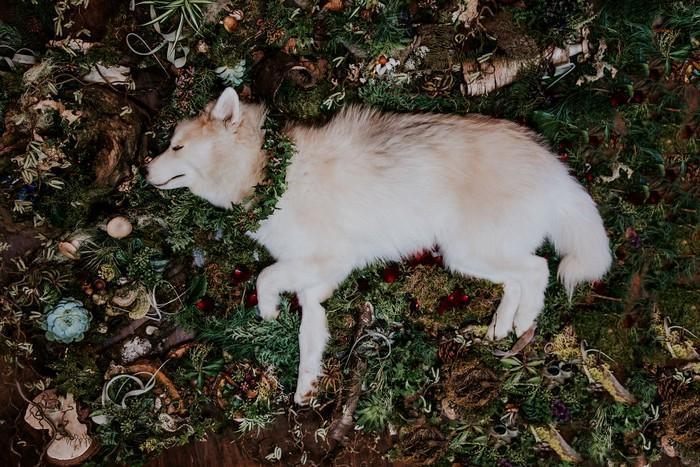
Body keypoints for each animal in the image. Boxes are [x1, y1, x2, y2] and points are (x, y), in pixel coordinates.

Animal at [148, 88, 612, 406]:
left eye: (177, 146)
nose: (144, 170)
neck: (269, 174)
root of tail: (553, 165)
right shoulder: (318, 283)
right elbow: (308, 339)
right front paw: (306, 388)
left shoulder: (327, 260)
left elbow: (264, 279)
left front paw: (267, 314)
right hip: (467, 256)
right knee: (517, 279)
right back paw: (501, 327)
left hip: (469, 251)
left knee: (538, 270)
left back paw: (523, 323)